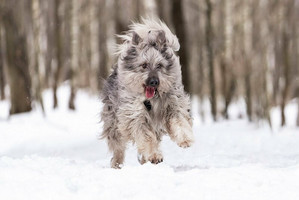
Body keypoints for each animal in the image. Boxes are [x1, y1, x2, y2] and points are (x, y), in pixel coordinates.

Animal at [101, 19, 195, 169]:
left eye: (159, 65)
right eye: (144, 65)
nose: (154, 81)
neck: (152, 99)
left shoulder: (173, 105)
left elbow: (179, 121)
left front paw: (185, 139)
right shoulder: (134, 115)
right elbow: (145, 136)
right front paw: (154, 155)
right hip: (113, 122)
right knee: (118, 146)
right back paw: (117, 163)